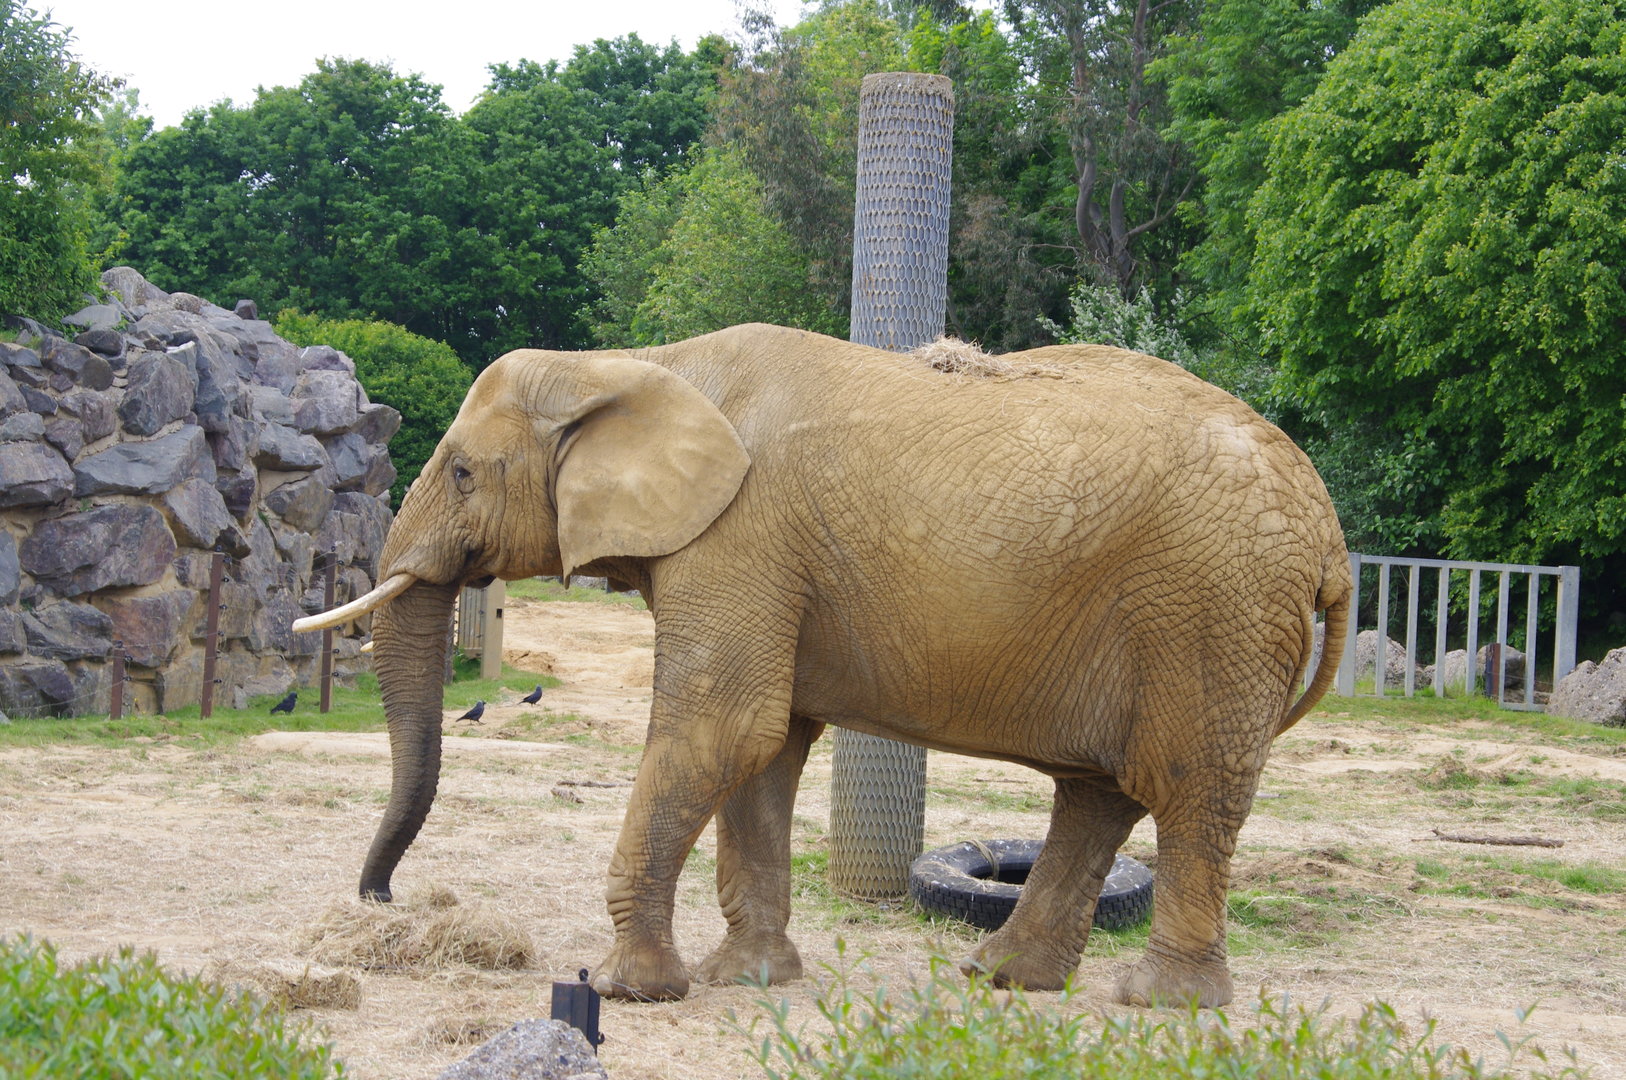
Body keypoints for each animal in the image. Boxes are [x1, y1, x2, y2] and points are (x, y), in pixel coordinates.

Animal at [294, 323, 1351, 1008]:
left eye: (462, 473)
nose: (381, 896)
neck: (637, 364)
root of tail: (1331, 536)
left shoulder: (739, 538)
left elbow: (727, 727)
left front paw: (628, 989)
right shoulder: (759, 557)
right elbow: (766, 751)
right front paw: (747, 982)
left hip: (1214, 610)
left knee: (1187, 787)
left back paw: (1161, 1002)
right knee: (1099, 796)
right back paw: (1003, 979)